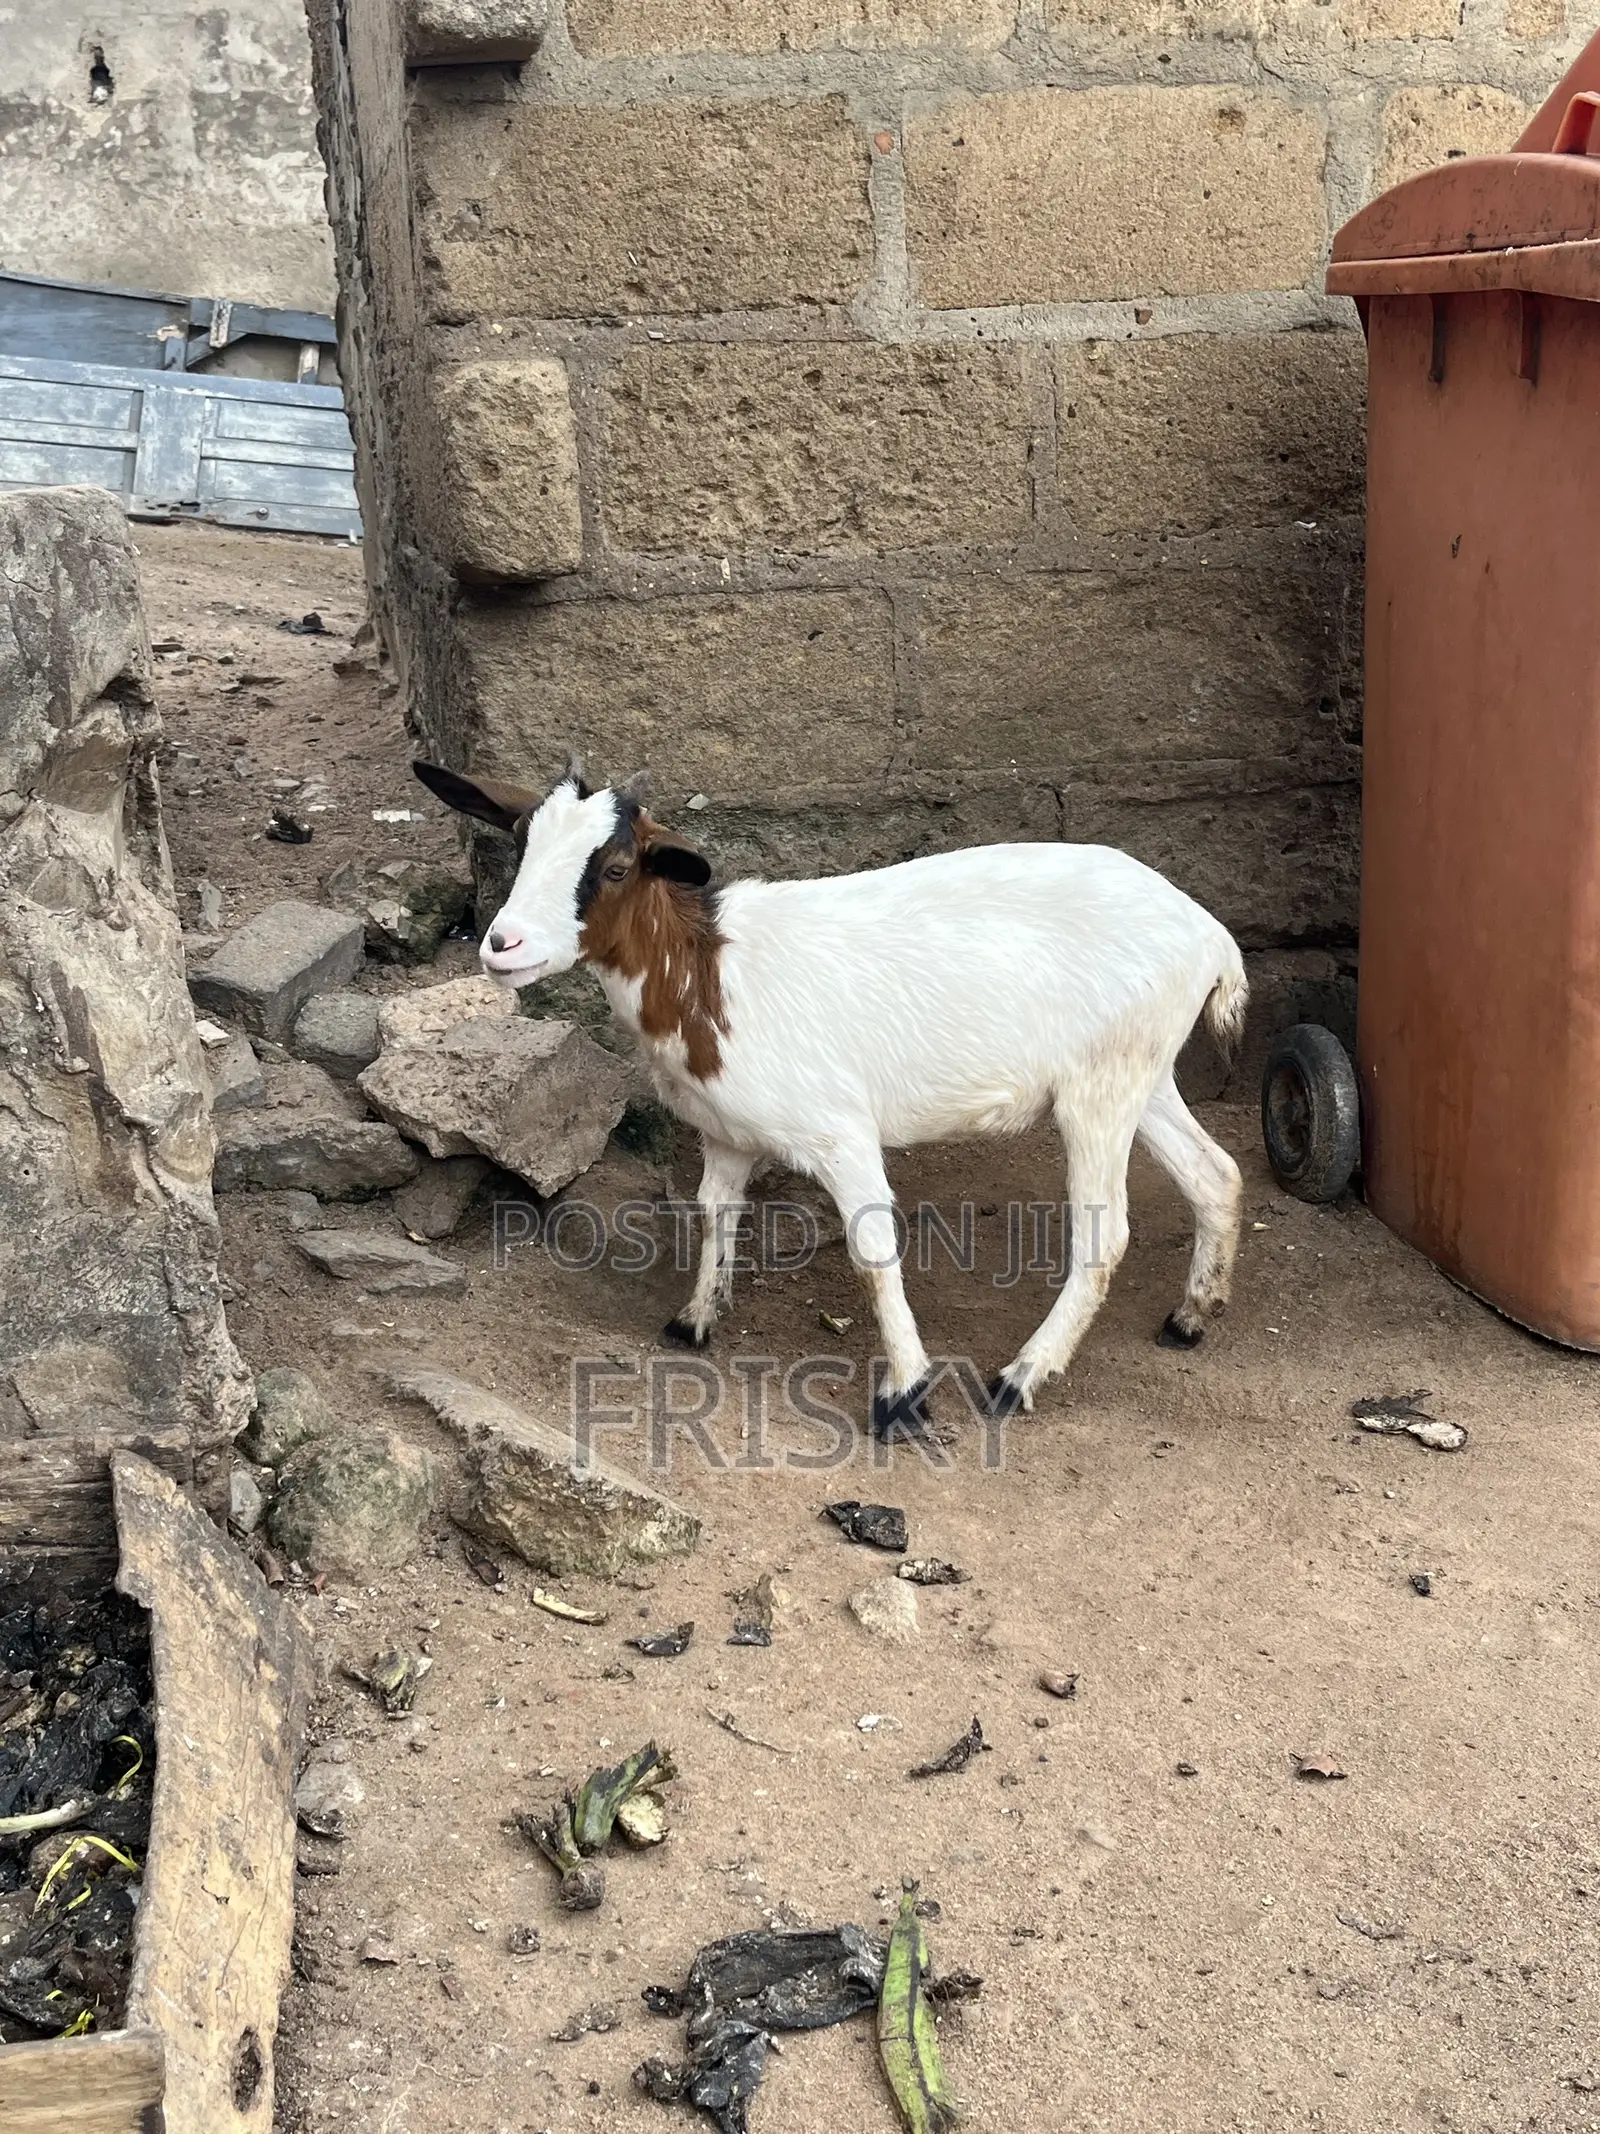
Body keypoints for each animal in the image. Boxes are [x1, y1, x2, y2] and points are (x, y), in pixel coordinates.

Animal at [414, 757, 1247, 1438]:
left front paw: (905, 1395)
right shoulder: (726, 1134)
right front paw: (695, 1320)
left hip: (1100, 1087)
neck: (709, 977)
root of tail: (1213, 937)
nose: (503, 945)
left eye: (615, 866)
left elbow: (874, 1251)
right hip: (1143, 1074)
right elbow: (715, 1213)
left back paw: (1021, 1376)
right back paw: (1193, 1314)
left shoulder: (840, 1132)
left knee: (1106, 1234)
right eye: (521, 842)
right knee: (1216, 1173)